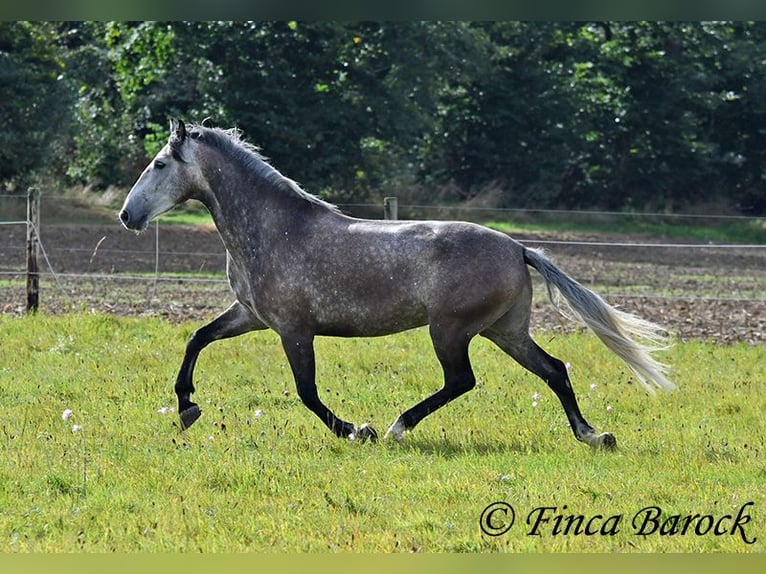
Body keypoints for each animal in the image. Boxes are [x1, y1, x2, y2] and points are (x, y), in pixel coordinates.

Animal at [117, 120, 676, 450]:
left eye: (160, 164)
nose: (127, 215)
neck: (273, 230)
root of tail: (517, 248)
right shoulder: (251, 316)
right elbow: (197, 338)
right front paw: (187, 408)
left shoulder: (294, 330)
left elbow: (306, 391)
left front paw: (356, 430)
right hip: (505, 330)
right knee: (554, 370)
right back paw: (594, 435)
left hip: (450, 330)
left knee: (462, 381)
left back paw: (395, 427)